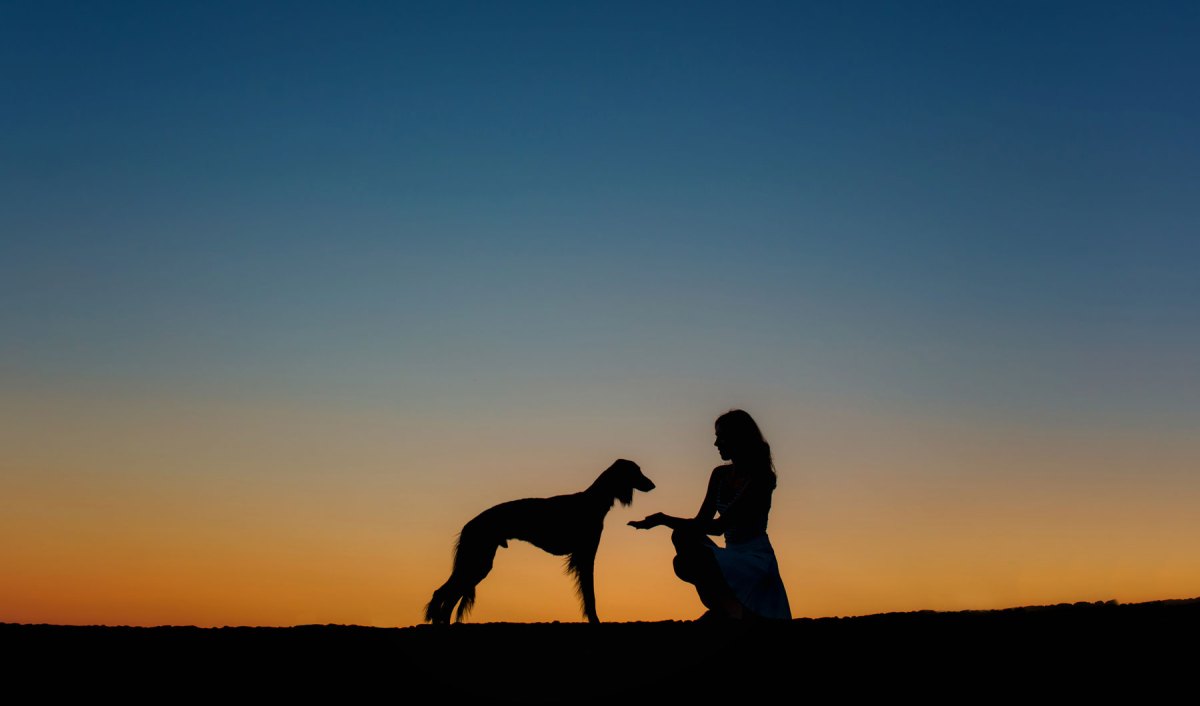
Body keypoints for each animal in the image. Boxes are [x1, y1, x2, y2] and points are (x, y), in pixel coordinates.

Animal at [427, 461, 657, 624]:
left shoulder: (583, 555)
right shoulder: (586, 555)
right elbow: (590, 595)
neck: (593, 501)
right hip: (478, 561)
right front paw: (595, 620)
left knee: (447, 597)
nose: (653, 485)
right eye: (637, 471)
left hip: (478, 564)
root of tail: (469, 525)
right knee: (442, 594)